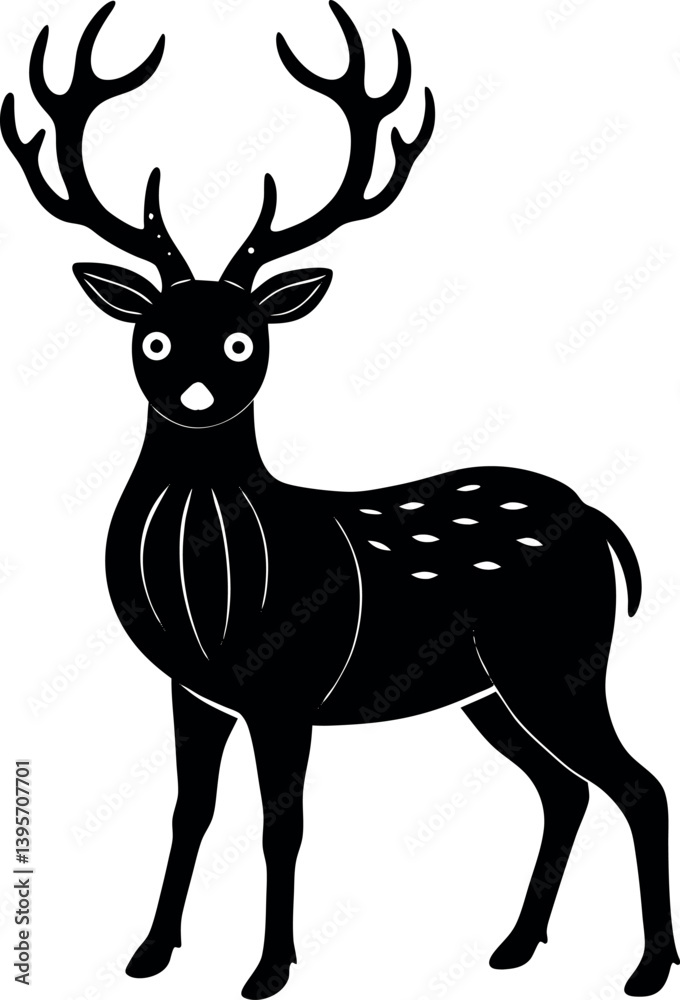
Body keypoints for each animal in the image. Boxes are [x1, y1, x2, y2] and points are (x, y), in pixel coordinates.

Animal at [2, 2, 676, 997]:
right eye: (154, 338)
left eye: (244, 341)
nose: (195, 395)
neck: (213, 603)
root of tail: (601, 522)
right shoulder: (192, 689)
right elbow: (188, 811)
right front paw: (149, 953)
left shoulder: (286, 687)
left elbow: (282, 826)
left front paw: (268, 970)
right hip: (487, 686)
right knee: (563, 788)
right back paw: (514, 947)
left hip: (559, 658)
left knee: (637, 783)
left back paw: (644, 969)